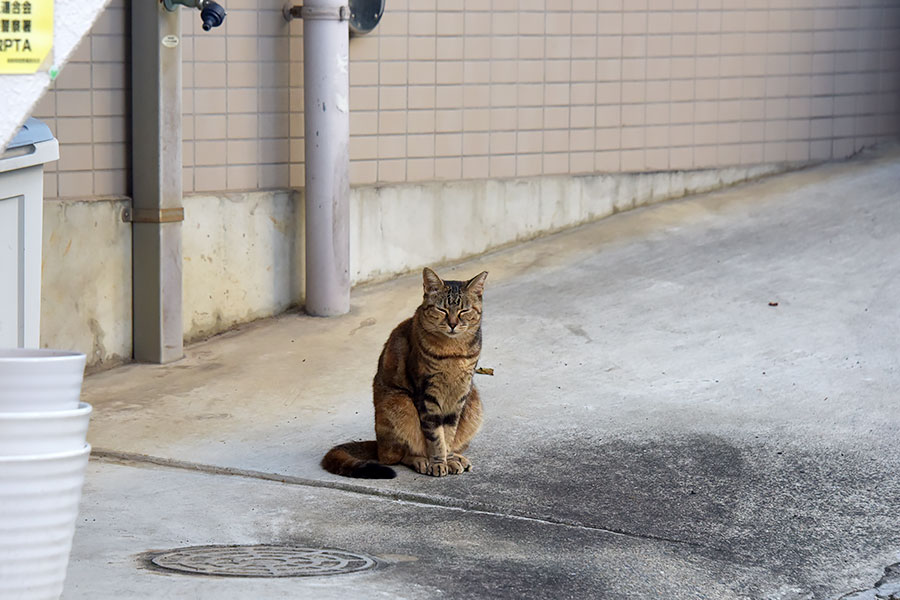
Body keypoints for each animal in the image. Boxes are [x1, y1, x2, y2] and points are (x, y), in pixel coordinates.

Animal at [324, 268, 488, 478]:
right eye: (441, 310)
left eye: (464, 311)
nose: (452, 324)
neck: (453, 351)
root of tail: (378, 445)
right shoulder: (427, 394)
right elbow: (436, 436)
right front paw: (438, 462)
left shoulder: (460, 392)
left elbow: (449, 433)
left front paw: (449, 458)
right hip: (400, 402)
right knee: (397, 456)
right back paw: (421, 460)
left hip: (473, 401)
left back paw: (458, 457)